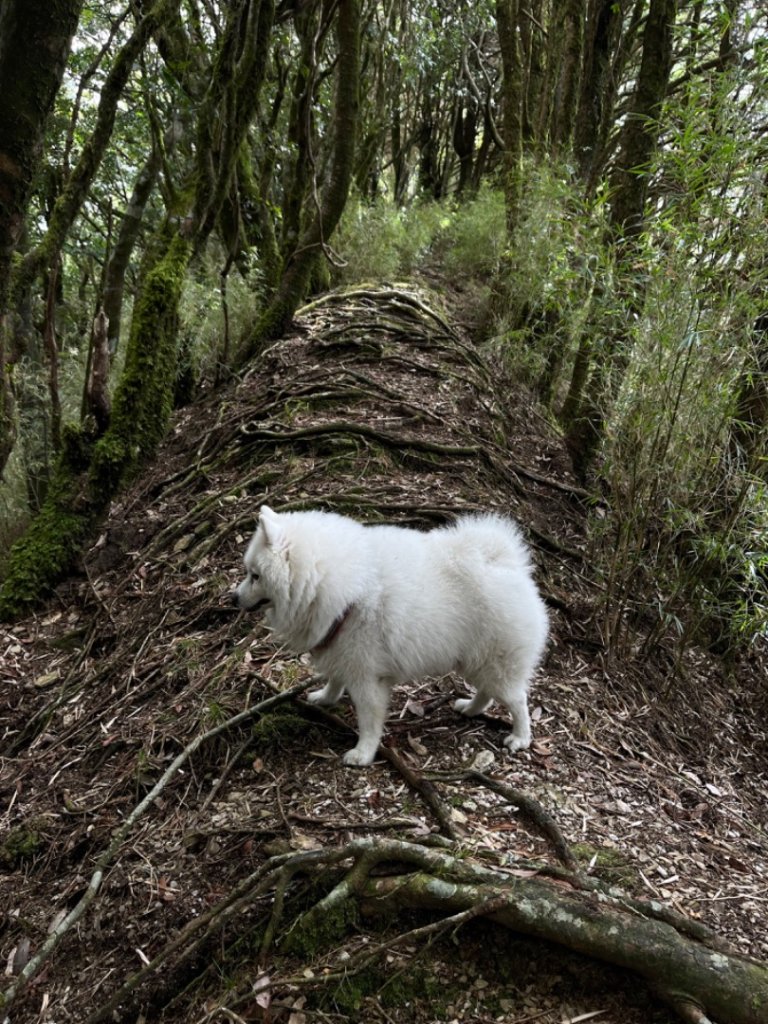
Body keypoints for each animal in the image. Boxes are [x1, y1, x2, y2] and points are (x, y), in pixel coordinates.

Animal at [233, 507, 548, 765]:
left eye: (255, 576)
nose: (233, 597)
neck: (332, 585)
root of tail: (506, 565)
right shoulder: (341, 650)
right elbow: (335, 679)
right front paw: (325, 698)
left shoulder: (366, 676)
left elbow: (369, 720)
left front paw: (363, 753)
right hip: (475, 661)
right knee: (488, 692)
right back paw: (470, 708)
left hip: (497, 662)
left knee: (517, 699)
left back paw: (520, 737)